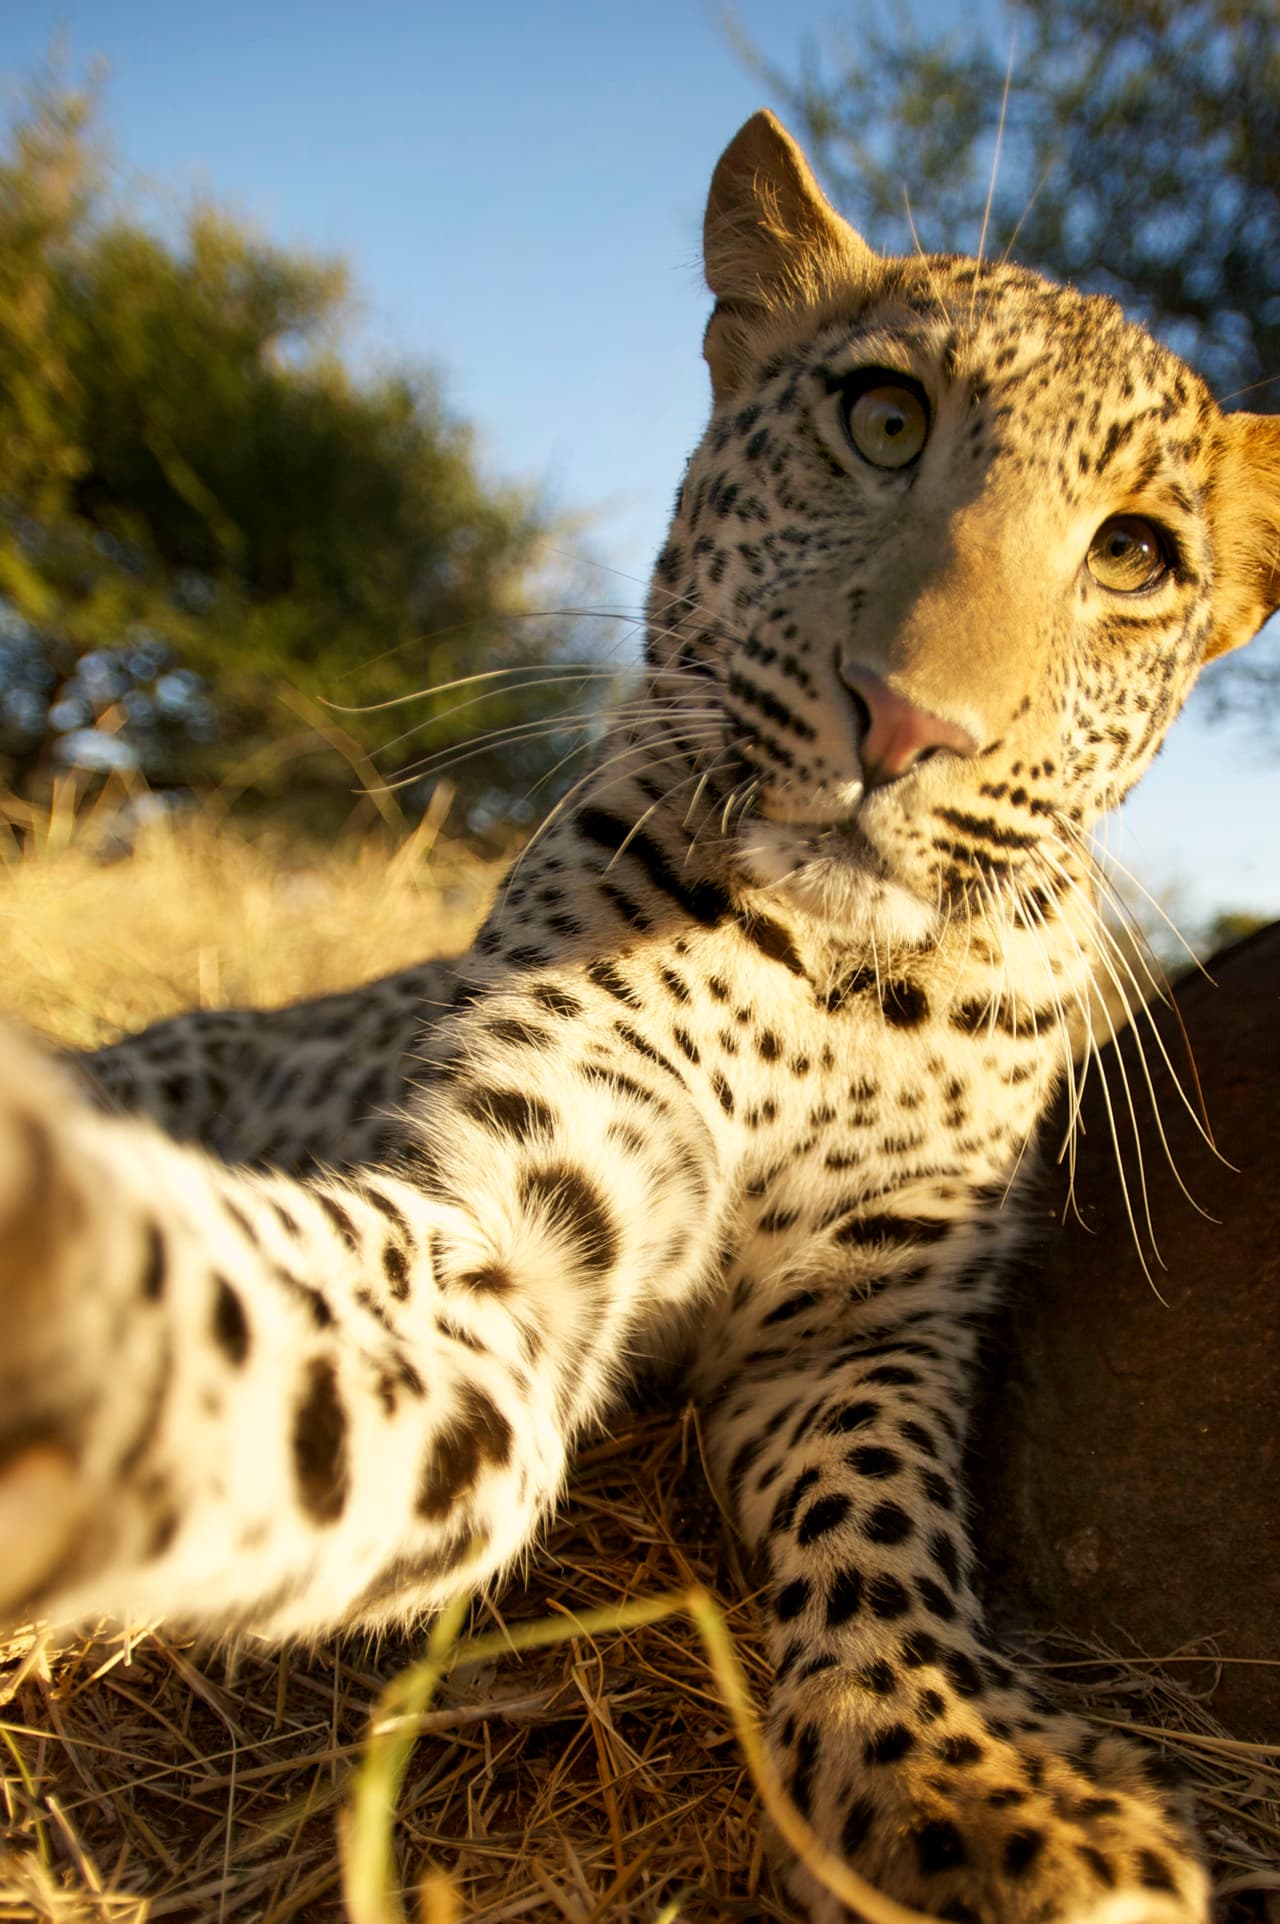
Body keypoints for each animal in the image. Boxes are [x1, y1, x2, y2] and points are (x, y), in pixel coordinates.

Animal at [2, 109, 1277, 1924]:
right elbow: (304, 1319)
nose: (911, 722)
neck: (846, 983)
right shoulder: (520, 1215)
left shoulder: (863, 1321)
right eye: (883, 419)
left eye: (1134, 554)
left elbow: (889, 1540)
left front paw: (975, 1774)